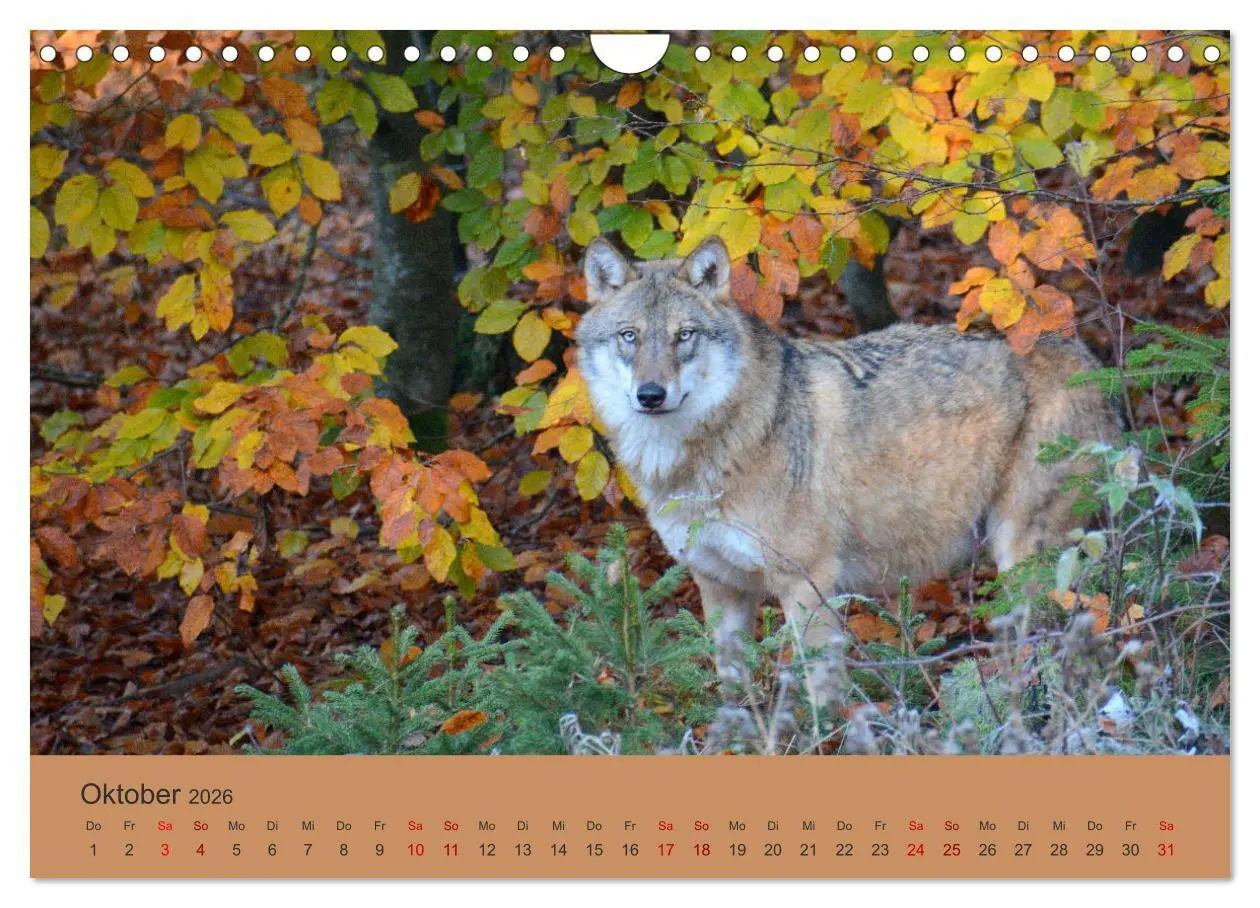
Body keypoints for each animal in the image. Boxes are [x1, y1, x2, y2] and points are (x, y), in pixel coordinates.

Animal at [576, 235, 1121, 692]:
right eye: (629, 336)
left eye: (683, 335)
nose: (650, 395)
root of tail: (1090, 359)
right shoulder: (719, 587)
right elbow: (733, 694)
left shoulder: (807, 582)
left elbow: (821, 695)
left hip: (1020, 555)